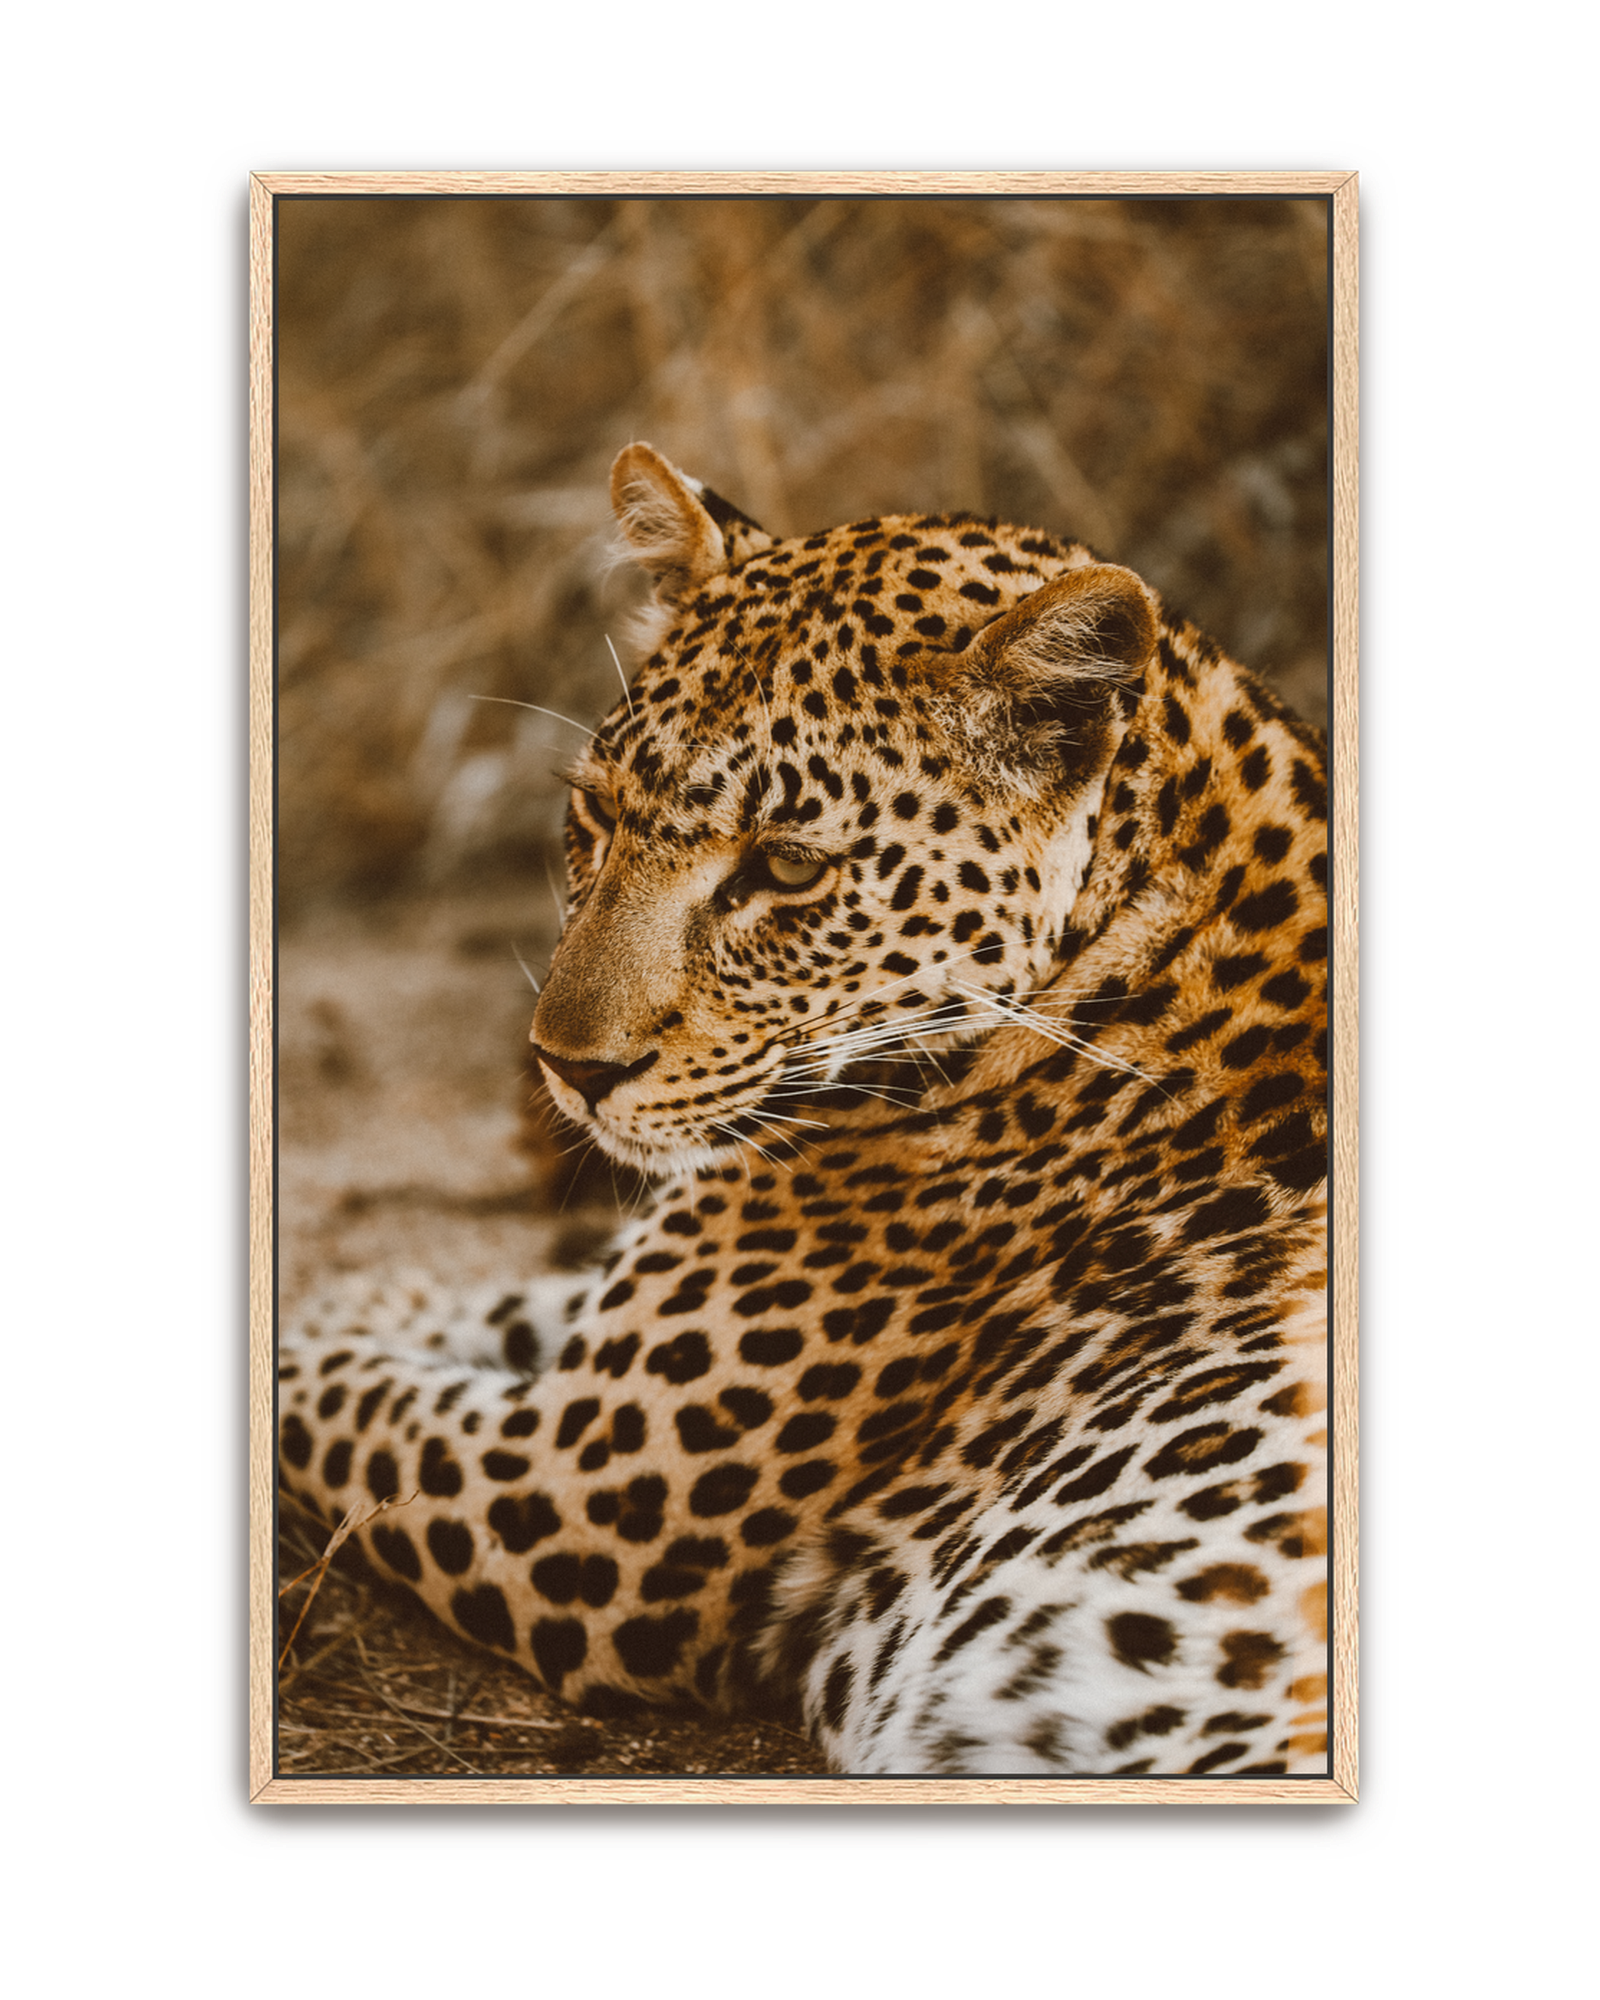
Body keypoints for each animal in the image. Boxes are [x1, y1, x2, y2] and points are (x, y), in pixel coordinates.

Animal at [280, 442, 1329, 1777]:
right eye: (599, 816)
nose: (566, 1066)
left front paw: (330, 1318)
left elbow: (332, 1397)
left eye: (782, 868)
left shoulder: (566, 1494)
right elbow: (506, 1301)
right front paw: (380, 1295)